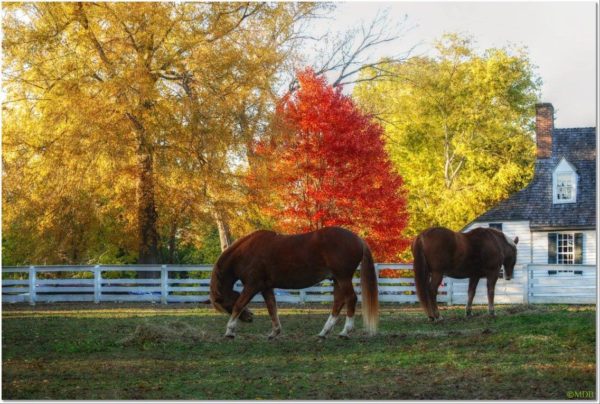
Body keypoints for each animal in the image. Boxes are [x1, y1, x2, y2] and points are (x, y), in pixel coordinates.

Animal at [210, 227, 380, 338]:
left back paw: (345, 331)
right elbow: (272, 308)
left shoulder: (252, 286)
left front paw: (229, 331)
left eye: (227, 306)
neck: (247, 252)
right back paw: (324, 332)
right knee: (338, 302)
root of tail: (358, 239)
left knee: (351, 299)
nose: (250, 318)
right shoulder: (265, 287)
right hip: (337, 279)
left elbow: (239, 304)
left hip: (343, 278)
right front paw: (275, 332)